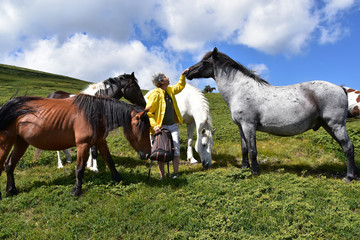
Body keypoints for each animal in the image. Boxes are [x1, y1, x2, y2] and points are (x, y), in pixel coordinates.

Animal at [0, 94, 151, 199]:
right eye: (142, 129)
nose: (147, 154)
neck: (95, 114)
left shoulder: (100, 142)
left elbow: (110, 161)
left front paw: (118, 179)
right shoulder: (83, 145)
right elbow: (80, 169)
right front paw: (76, 191)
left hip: (21, 142)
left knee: (10, 164)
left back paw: (11, 190)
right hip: (5, 142)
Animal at [186, 47, 358, 181]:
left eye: (204, 62)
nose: (187, 72)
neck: (240, 90)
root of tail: (341, 88)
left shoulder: (249, 126)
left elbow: (252, 149)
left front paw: (255, 171)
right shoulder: (241, 127)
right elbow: (244, 149)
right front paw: (244, 168)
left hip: (336, 125)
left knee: (348, 147)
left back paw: (349, 177)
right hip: (329, 126)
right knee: (346, 147)